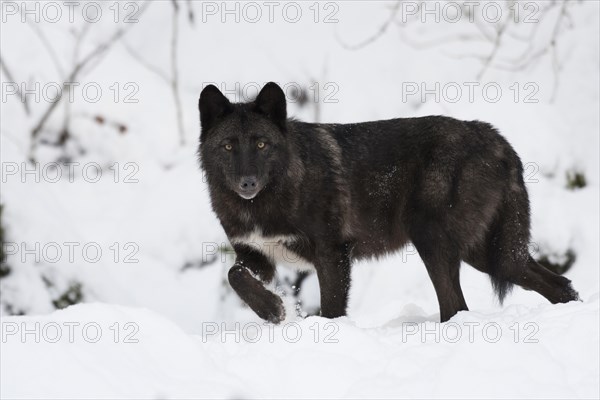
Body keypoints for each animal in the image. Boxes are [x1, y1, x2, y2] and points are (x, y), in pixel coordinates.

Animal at [199, 83, 580, 324]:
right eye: (229, 146)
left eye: (261, 145)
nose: (247, 183)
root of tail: (496, 137)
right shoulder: (255, 257)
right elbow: (235, 275)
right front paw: (273, 310)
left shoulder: (333, 253)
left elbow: (332, 308)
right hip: (489, 254)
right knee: (559, 285)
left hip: (435, 242)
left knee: (456, 307)